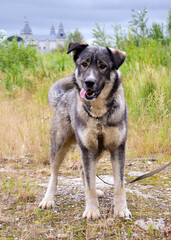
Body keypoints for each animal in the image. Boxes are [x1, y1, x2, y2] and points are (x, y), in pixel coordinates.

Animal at [39, 42, 132, 219]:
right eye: (84, 64)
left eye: (103, 66)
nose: (89, 82)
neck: (99, 114)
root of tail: (63, 96)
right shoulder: (88, 150)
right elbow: (90, 185)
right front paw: (92, 210)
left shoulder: (117, 149)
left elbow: (119, 185)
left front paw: (121, 209)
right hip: (59, 146)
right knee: (54, 174)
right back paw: (48, 199)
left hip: (97, 150)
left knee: (83, 170)